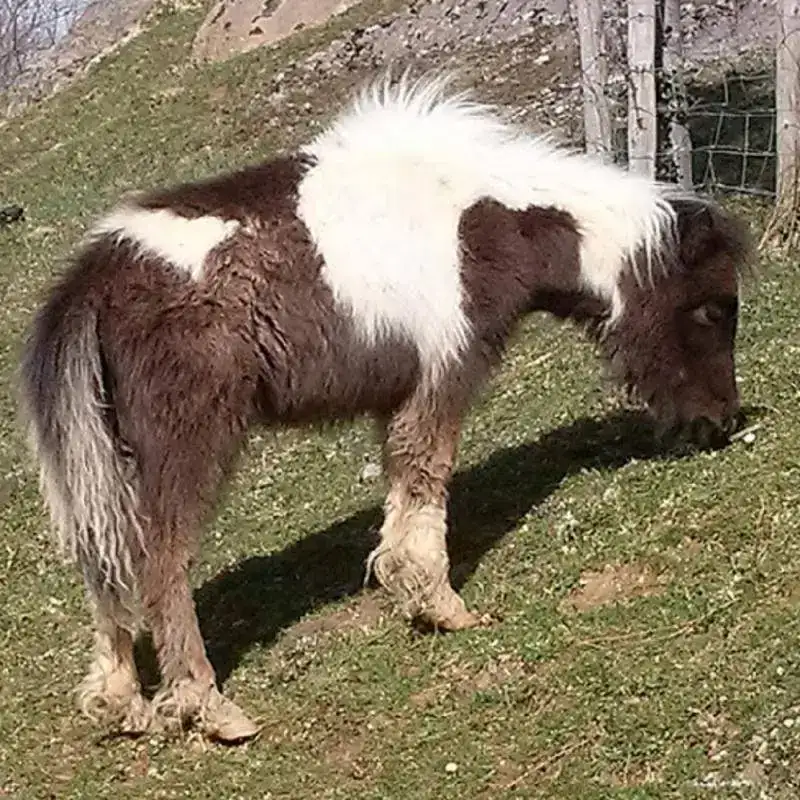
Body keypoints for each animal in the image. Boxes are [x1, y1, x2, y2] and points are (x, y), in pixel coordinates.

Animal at [18, 73, 753, 743]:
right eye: (713, 310)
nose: (721, 422)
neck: (485, 222)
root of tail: (91, 283)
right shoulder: (443, 373)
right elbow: (427, 479)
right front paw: (440, 605)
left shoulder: (399, 395)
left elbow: (404, 485)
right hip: (188, 444)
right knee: (160, 563)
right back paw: (209, 706)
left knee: (102, 559)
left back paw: (120, 701)